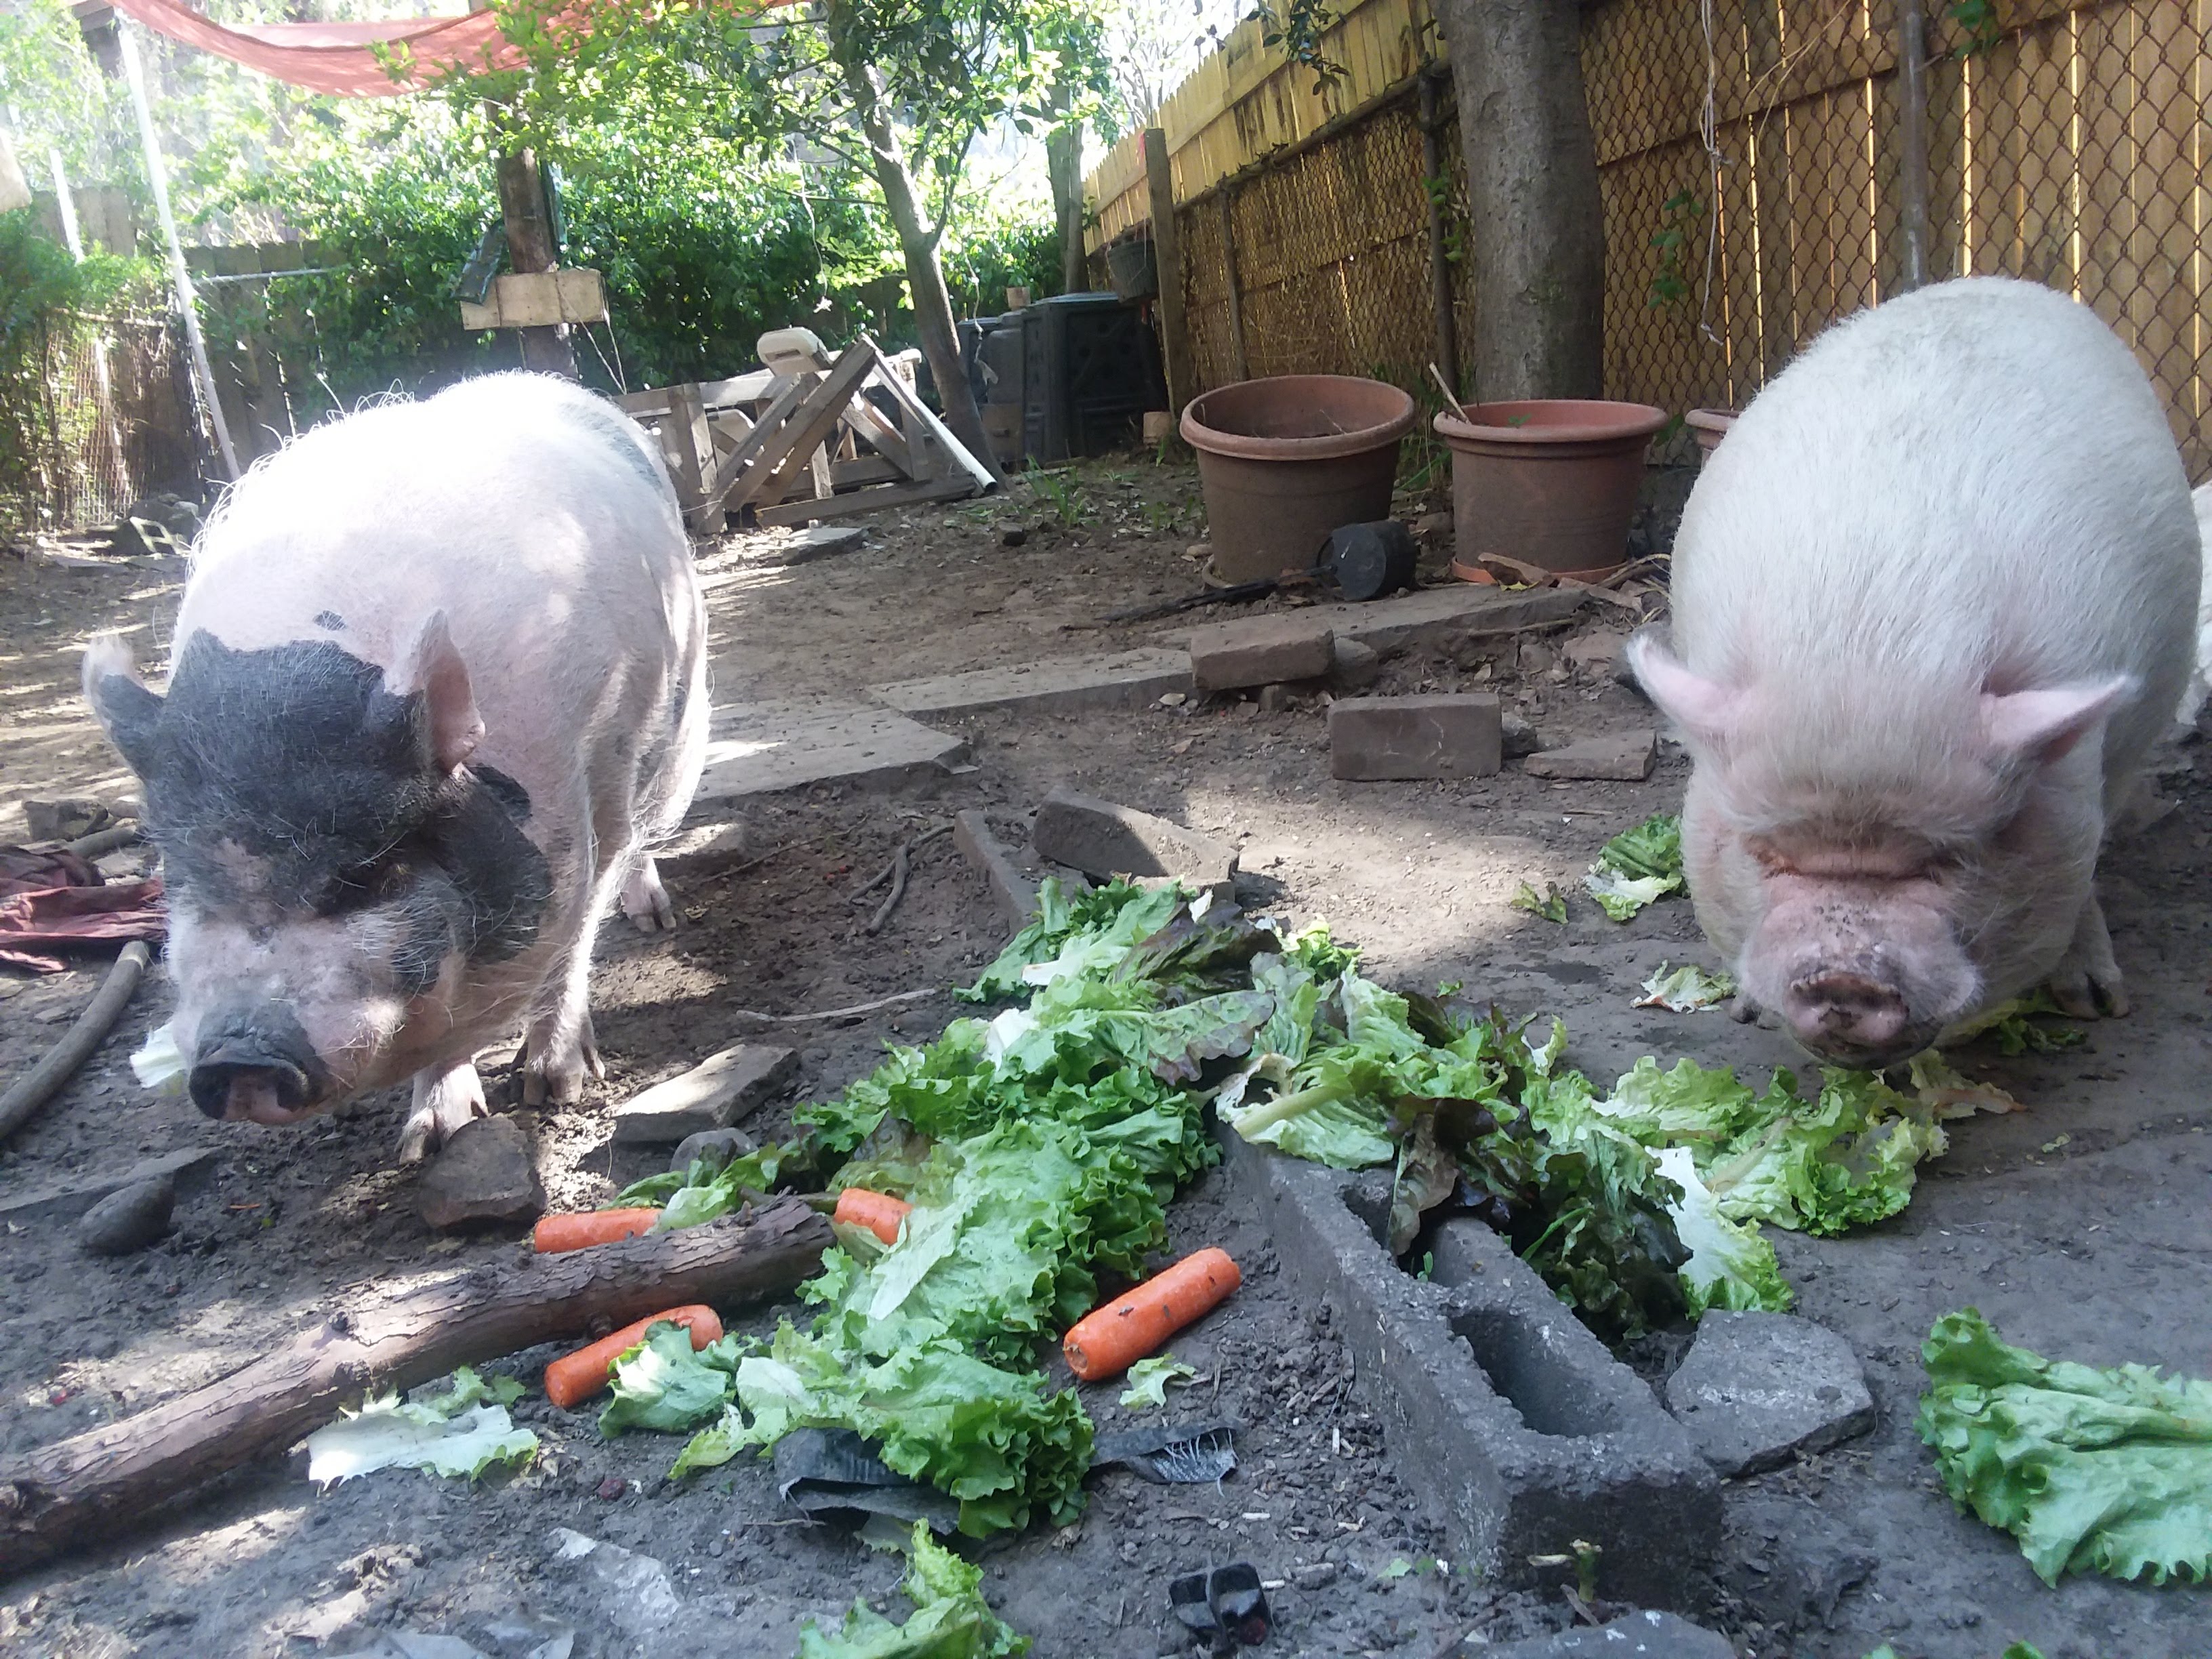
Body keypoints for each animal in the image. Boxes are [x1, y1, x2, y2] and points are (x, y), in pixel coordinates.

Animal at [84, 372, 709, 1160]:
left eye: (366, 870)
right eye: (181, 875)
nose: (240, 1058)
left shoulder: (597, 777)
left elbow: (575, 934)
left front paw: (556, 1090)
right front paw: (428, 1141)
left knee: (646, 836)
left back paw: (652, 920)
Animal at [1627, 276, 2198, 1068]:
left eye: (1949, 859)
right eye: (1765, 853)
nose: (1844, 980)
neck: (1870, 643)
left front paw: (2097, 1008)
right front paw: (1745, 1014)